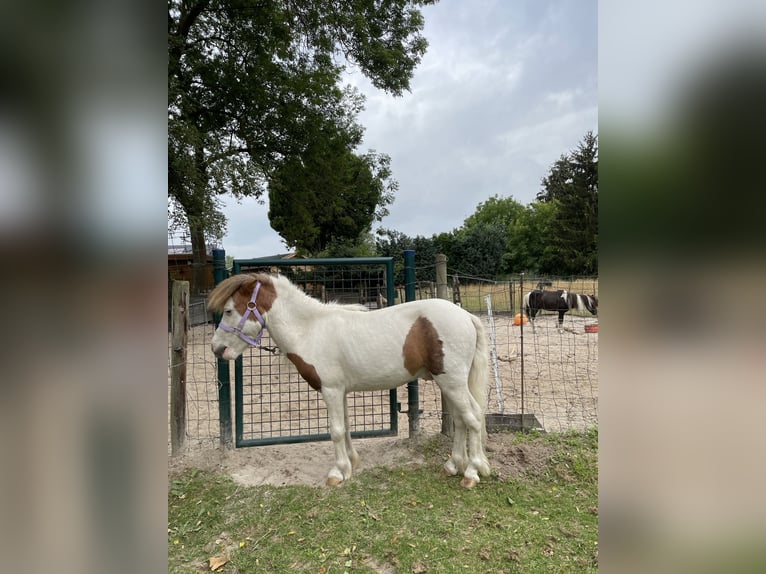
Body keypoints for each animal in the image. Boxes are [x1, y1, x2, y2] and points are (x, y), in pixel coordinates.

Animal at [208, 273, 491, 488]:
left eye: (230, 310)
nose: (217, 349)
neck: (311, 330)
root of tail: (465, 315)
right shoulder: (340, 391)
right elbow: (345, 427)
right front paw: (351, 463)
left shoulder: (331, 390)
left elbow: (335, 430)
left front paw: (337, 472)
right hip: (449, 385)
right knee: (461, 421)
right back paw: (453, 465)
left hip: (452, 383)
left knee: (473, 418)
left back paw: (472, 473)